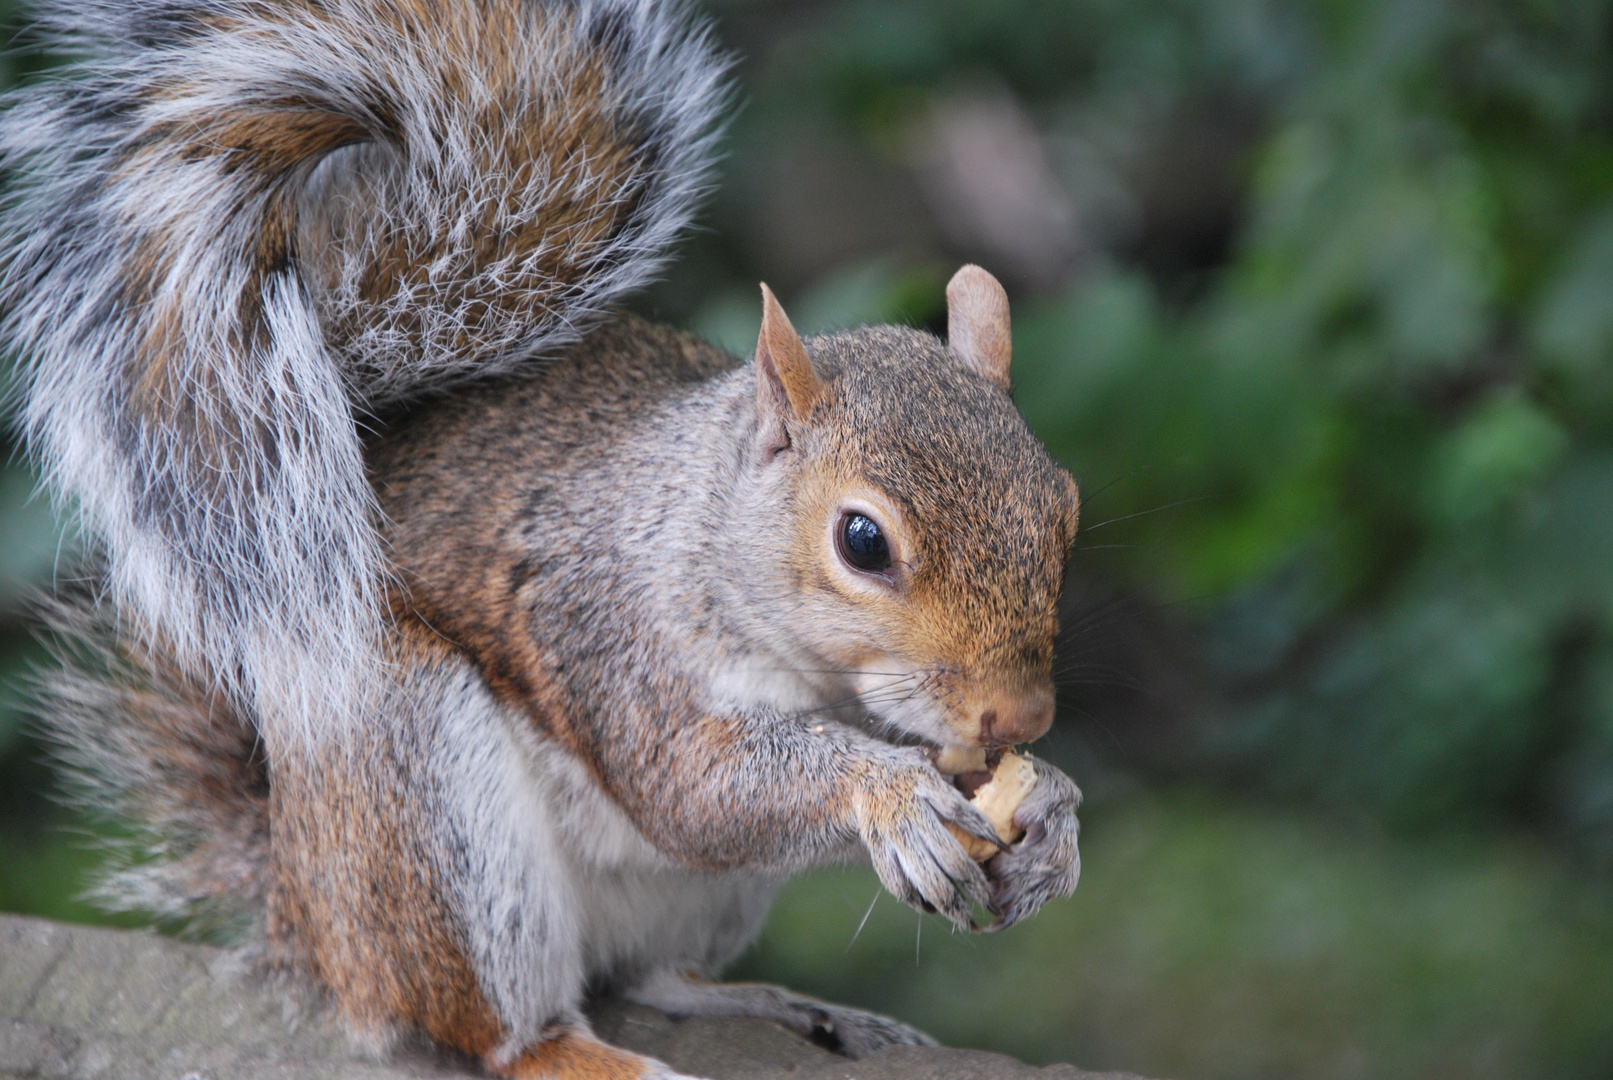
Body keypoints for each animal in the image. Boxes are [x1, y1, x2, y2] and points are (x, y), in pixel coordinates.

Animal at [3, 2, 1083, 1080]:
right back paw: (586, 1055)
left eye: (1063, 505)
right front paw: (891, 792)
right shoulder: (608, 631)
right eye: (861, 540)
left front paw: (1050, 813)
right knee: (497, 1029)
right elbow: (692, 791)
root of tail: (302, 914)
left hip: (700, 900)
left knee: (650, 977)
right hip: (425, 799)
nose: (1021, 715)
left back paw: (774, 1005)